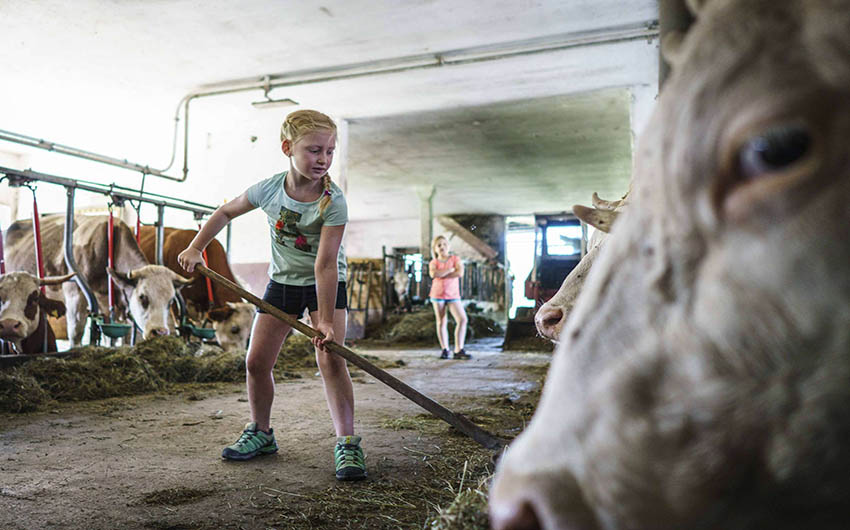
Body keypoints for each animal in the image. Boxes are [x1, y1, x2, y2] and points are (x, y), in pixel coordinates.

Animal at [3, 212, 192, 344]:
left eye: (170, 301)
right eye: (142, 297)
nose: (160, 332)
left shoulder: (111, 304)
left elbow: (119, 337)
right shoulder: (75, 294)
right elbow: (76, 333)